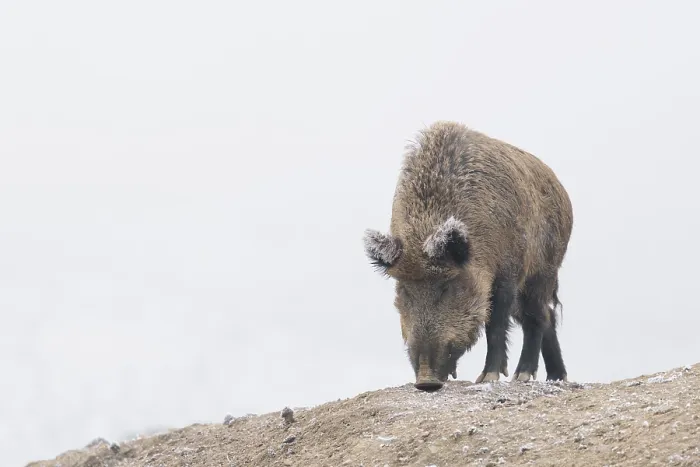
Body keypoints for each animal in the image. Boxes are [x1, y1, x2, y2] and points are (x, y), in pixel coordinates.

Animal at [363, 121, 573, 391]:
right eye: (405, 291)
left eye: (447, 287)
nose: (426, 381)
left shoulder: (507, 272)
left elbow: (495, 323)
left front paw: (488, 378)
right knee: (546, 317)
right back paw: (556, 377)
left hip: (543, 270)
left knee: (538, 316)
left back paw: (524, 376)